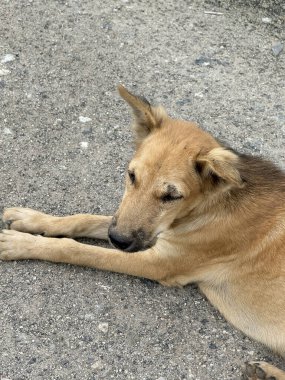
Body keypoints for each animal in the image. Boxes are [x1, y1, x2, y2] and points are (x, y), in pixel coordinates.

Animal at [0, 86, 284, 380]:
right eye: (132, 175)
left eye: (172, 196)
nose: (118, 240)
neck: (210, 205)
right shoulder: (143, 233)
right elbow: (82, 219)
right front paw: (31, 219)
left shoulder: (159, 262)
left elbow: (76, 249)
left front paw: (22, 244)